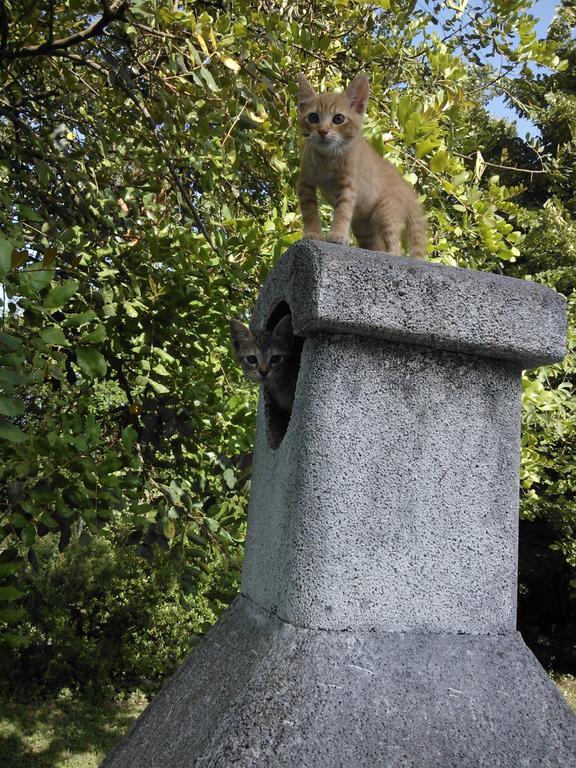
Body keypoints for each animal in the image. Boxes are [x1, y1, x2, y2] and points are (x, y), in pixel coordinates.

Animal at [296, 75, 428, 260]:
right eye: (313, 117)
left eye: (338, 119)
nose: (323, 131)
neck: (326, 158)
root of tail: (408, 190)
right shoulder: (305, 183)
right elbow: (309, 212)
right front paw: (312, 233)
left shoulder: (349, 185)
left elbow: (342, 211)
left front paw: (337, 234)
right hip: (363, 227)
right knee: (375, 245)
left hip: (386, 212)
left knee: (394, 246)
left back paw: (391, 254)